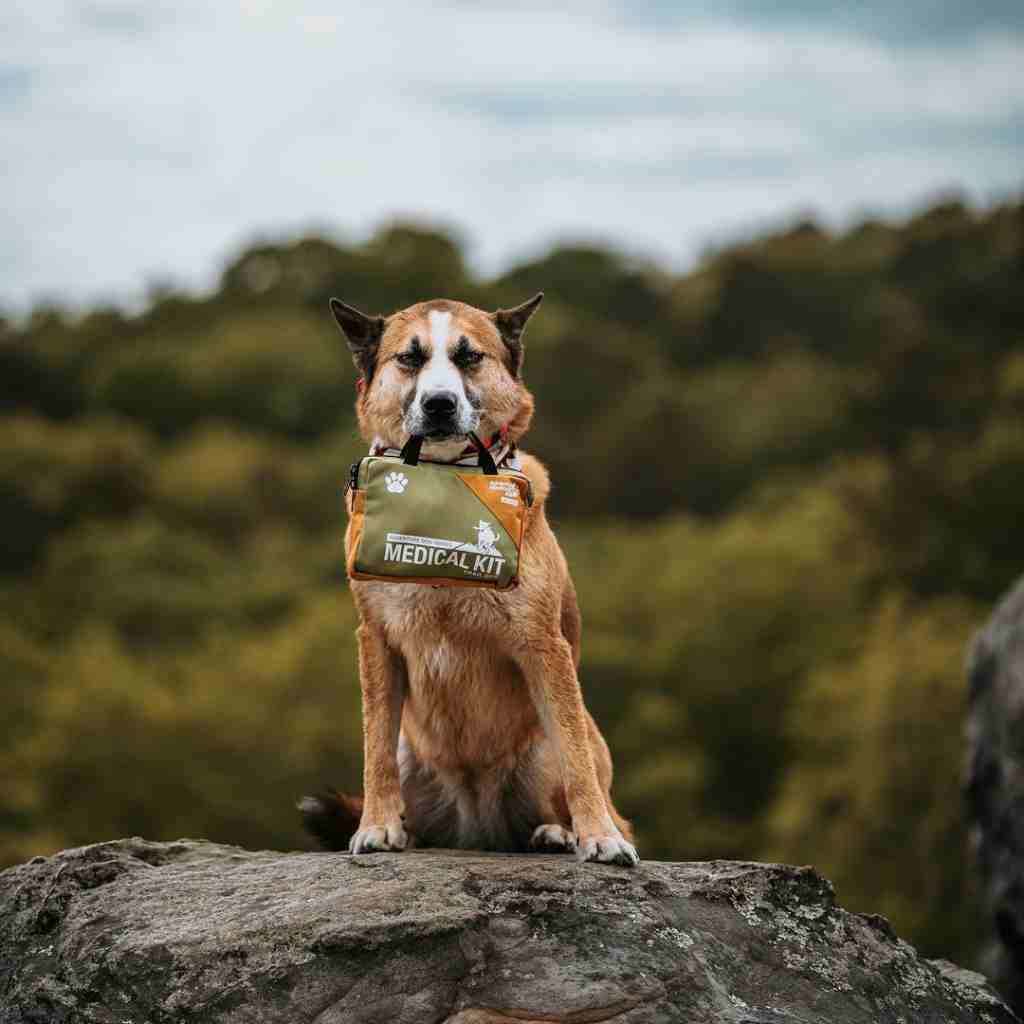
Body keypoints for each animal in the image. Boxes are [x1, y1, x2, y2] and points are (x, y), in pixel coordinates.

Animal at [296, 290, 643, 864]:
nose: (439, 403)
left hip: (543, 746)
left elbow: (576, 761)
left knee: (580, 778)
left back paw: (559, 833)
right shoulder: (376, 640)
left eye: (469, 357)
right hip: (414, 752)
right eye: (410, 358)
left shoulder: (544, 645)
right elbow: (374, 751)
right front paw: (377, 825)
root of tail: (480, 827)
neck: (442, 485)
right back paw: (411, 830)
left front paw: (599, 837)